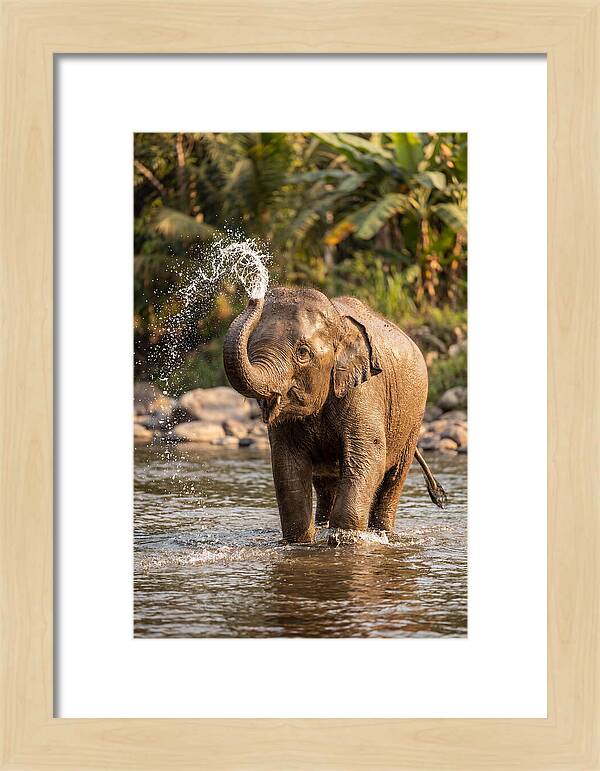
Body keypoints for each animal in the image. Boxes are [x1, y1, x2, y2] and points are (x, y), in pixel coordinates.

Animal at [223, 286, 447, 544]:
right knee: (325, 483)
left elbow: (368, 457)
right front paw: (302, 542)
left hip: (413, 418)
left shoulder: (364, 391)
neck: (339, 323)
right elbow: (287, 465)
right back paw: (323, 526)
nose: (254, 297)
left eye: (303, 353)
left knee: (393, 479)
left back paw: (383, 534)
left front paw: (345, 540)